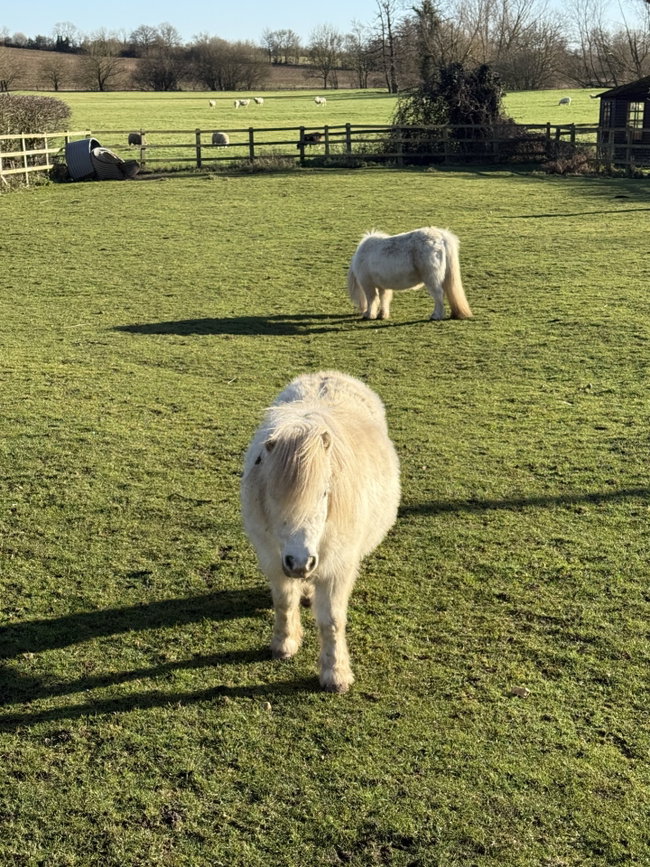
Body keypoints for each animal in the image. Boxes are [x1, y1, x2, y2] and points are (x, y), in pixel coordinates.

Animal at [241, 370, 400, 694]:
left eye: (324, 493)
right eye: (273, 496)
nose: (300, 562)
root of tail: (330, 374)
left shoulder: (336, 568)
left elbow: (331, 622)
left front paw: (335, 674)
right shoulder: (273, 558)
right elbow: (283, 602)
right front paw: (284, 644)